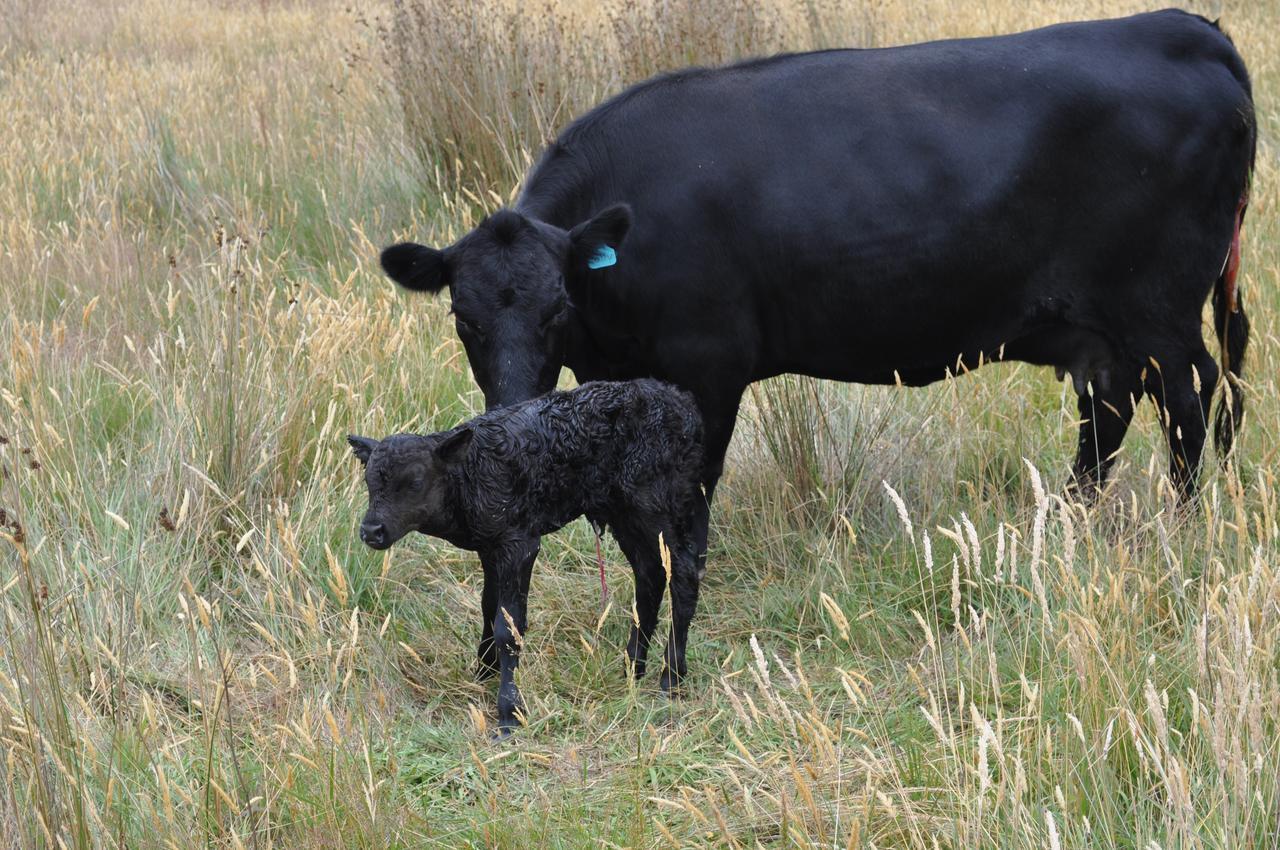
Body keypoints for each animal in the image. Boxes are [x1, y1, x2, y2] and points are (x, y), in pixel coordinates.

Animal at [350, 381, 706, 732]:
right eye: (369, 482)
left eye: (414, 482)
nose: (371, 530)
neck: (472, 475)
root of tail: (684, 405)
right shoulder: (490, 546)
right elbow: (489, 607)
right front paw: (485, 670)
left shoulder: (519, 542)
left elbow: (508, 625)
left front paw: (509, 712)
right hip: (623, 512)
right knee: (650, 574)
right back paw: (633, 667)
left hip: (655, 500)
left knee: (684, 571)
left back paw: (671, 677)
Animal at [381, 9, 1259, 568]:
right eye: (461, 319)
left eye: (557, 309)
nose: (505, 412)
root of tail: (1183, 27)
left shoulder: (707, 366)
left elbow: (688, 489)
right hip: (1104, 330)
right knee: (1109, 415)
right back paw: (1066, 524)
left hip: (1160, 313)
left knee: (1189, 405)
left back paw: (1180, 528)